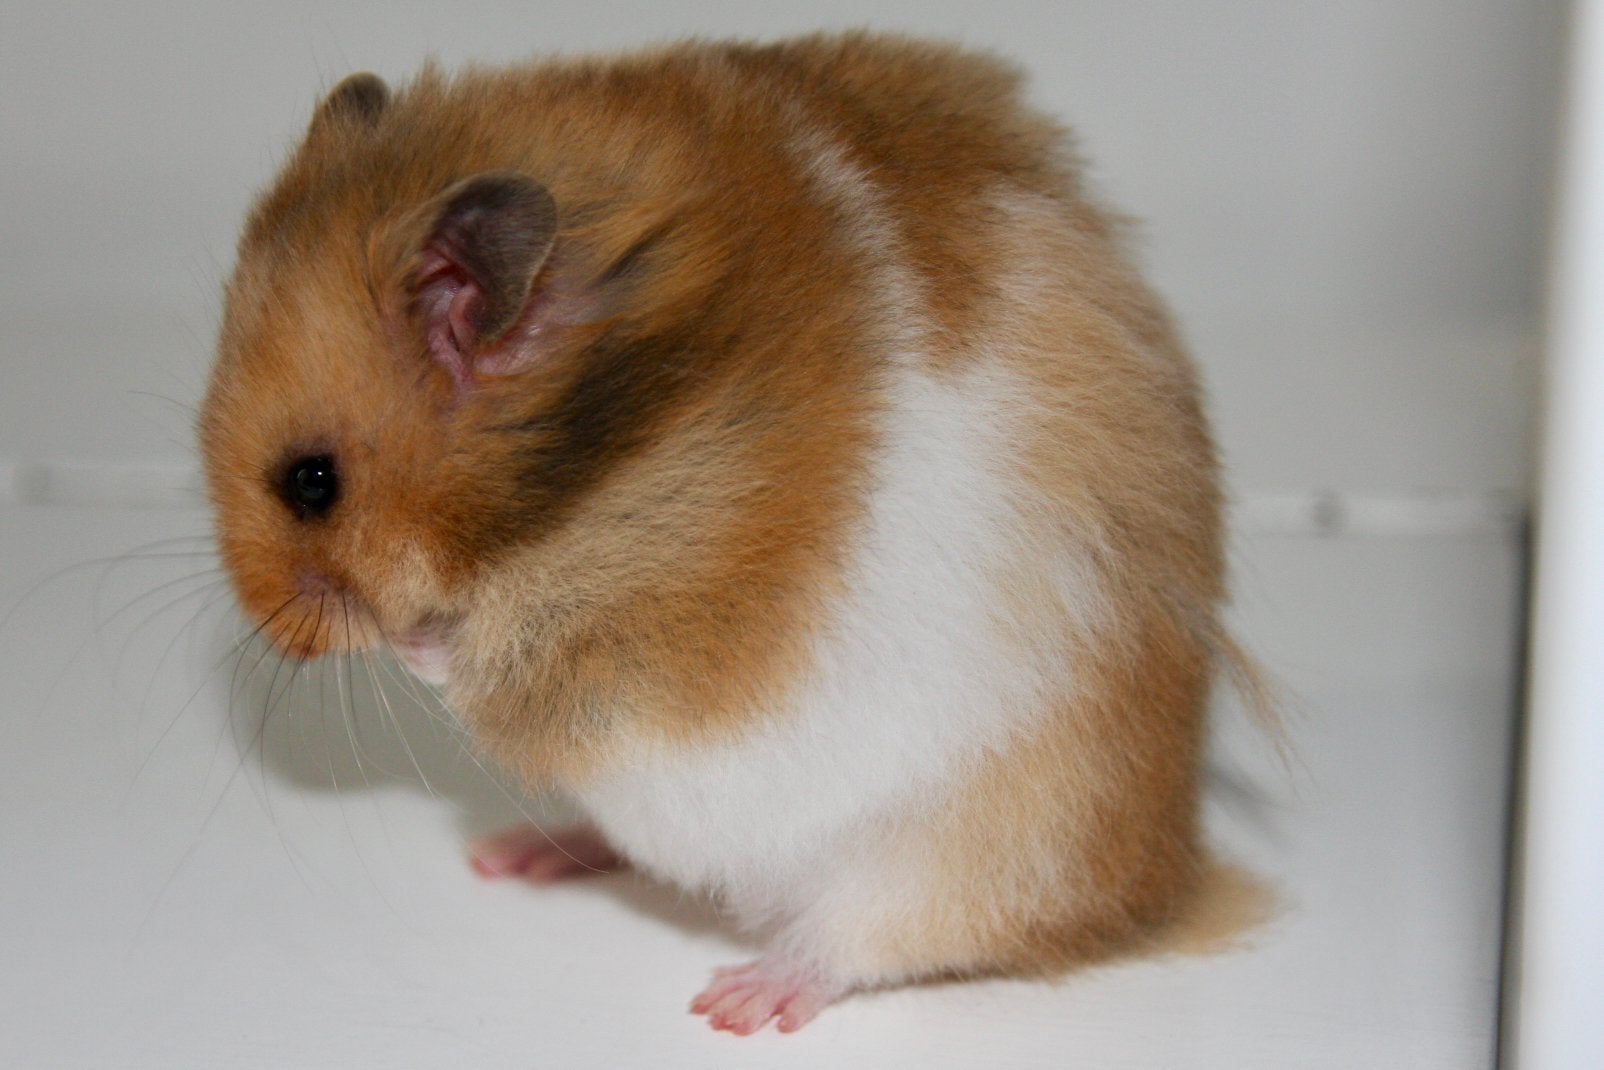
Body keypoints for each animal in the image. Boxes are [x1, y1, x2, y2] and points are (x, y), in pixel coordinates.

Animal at [200, 33, 1252, 1035]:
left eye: (311, 483)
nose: (276, 637)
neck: (606, 454)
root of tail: (1164, 880)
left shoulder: (651, 661)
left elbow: (475, 662)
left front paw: (422, 640)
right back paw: (518, 856)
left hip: (962, 847)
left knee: (862, 944)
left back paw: (738, 1003)